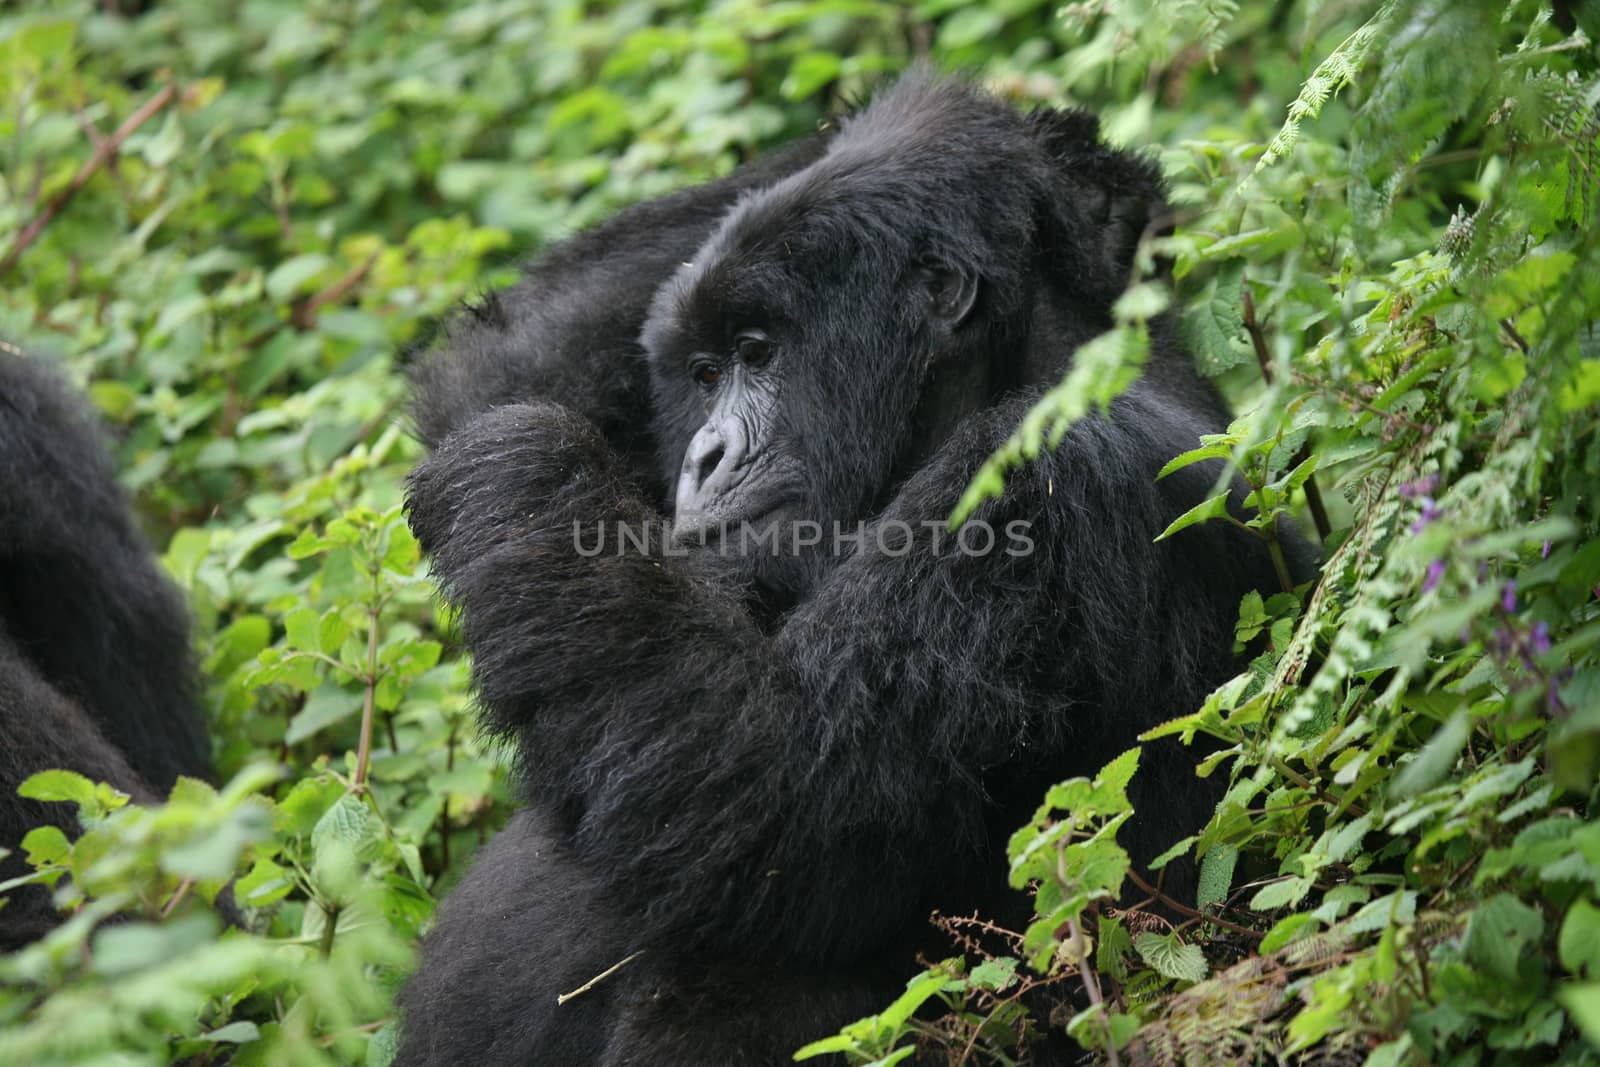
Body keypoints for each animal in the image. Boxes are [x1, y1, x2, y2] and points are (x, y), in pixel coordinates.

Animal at [400, 75, 1312, 1067]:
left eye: (760, 355)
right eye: (705, 373)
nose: (701, 458)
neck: (1049, 362)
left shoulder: (1045, 475)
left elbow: (787, 800)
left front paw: (512, 460)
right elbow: (502, 364)